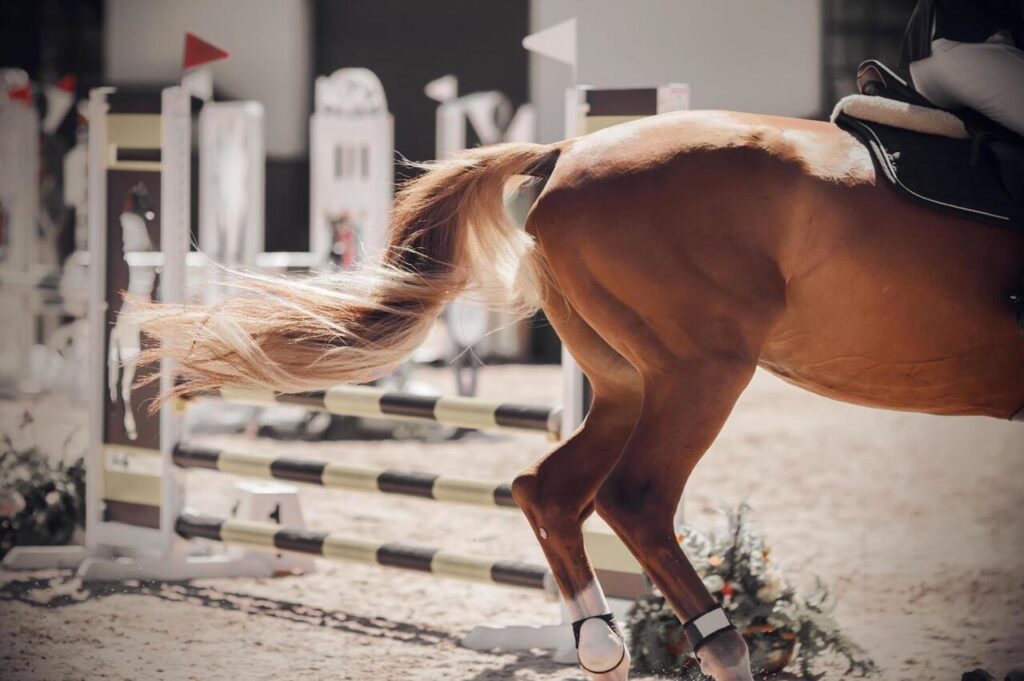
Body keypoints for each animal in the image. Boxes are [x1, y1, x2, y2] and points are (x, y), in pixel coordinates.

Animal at [136, 109, 1024, 681]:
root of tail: (565, 151)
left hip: (629, 379)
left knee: (550, 488)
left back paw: (600, 641)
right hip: (702, 369)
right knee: (633, 497)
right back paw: (721, 647)